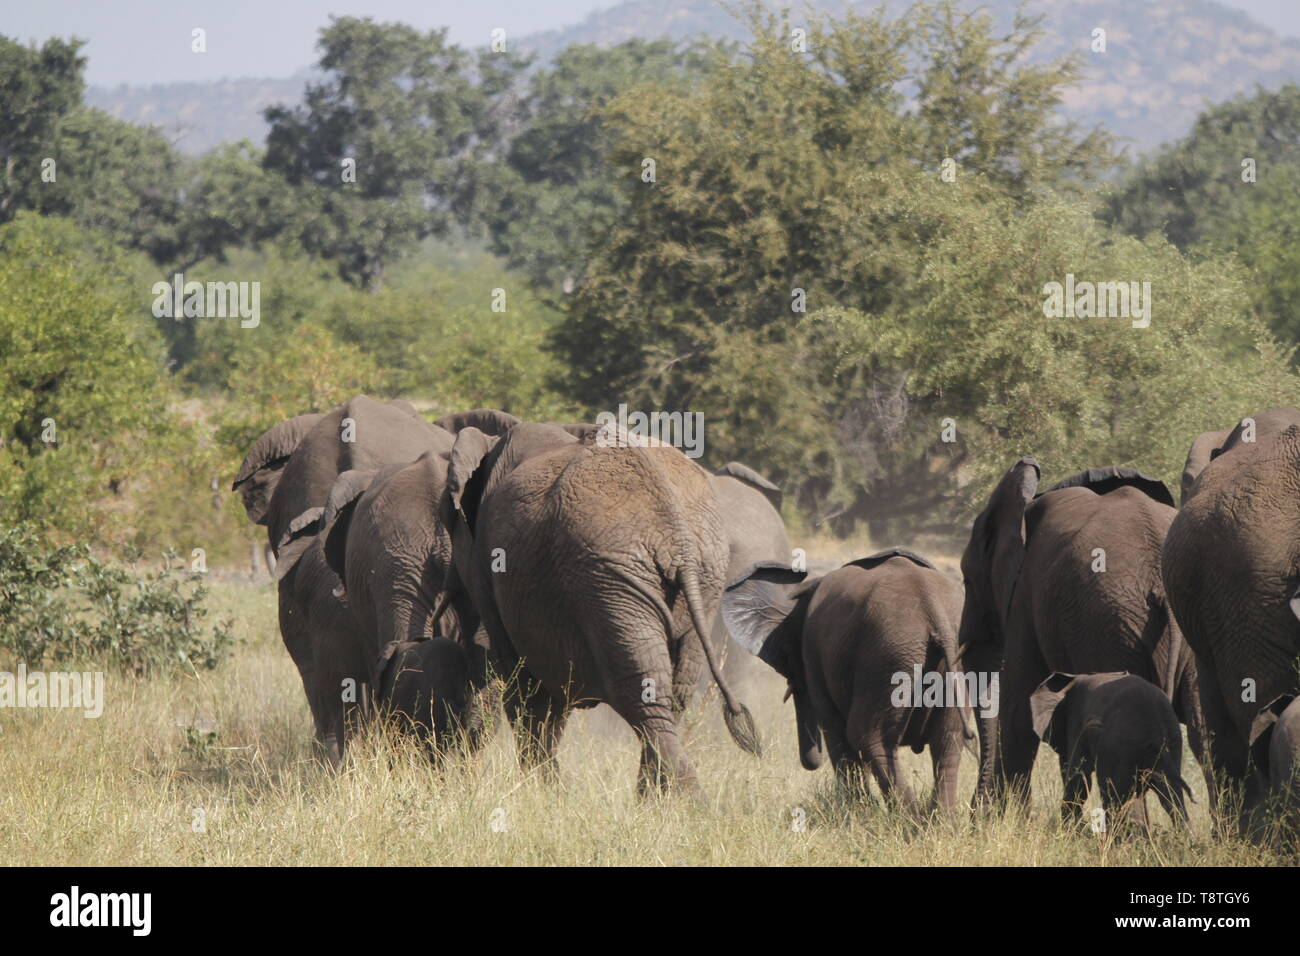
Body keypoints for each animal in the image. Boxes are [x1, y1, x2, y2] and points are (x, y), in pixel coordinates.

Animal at [441, 424, 759, 790]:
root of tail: (675, 532)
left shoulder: (491, 569)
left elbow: (528, 689)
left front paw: (542, 790)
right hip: (702, 578)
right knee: (672, 693)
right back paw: (657, 798)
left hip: (609, 579)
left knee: (640, 693)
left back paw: (679, 798)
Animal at [961, 460, 1201, 811]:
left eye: (966, 579)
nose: (975, 813)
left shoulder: (1025, 599)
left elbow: (1018, 710)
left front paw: (1012, 821)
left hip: (1109, 626)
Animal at [1029, 671, 1190, 832]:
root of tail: (1156, 731)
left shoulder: (1078, 724)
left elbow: (1079, 780)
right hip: (1171, 739)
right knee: (1170, 795)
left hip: (1119, 746)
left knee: (1114, 796)